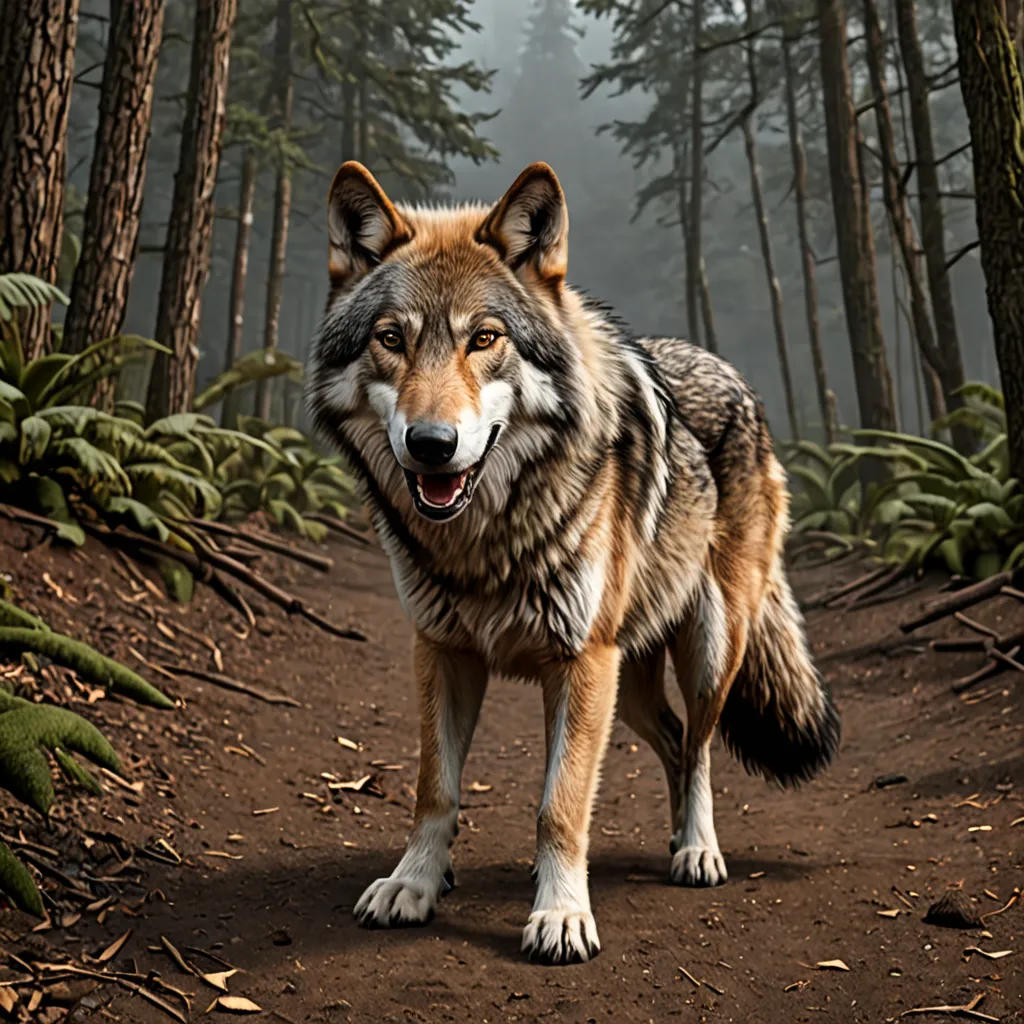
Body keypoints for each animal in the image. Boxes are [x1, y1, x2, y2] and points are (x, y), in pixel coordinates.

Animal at [306, 161, 839, 965]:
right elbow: (437, 788)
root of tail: (725, 368)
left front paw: (560, 915)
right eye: (390, 339)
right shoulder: (442, 649)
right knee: (675, 742)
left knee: (701, 749)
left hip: (707, 649)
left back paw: (696, 850)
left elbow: (559, 806)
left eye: (484, 338)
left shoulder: (582, 661)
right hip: (633, 683)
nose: (430, 444)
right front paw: (416, 884)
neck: (485, 540)